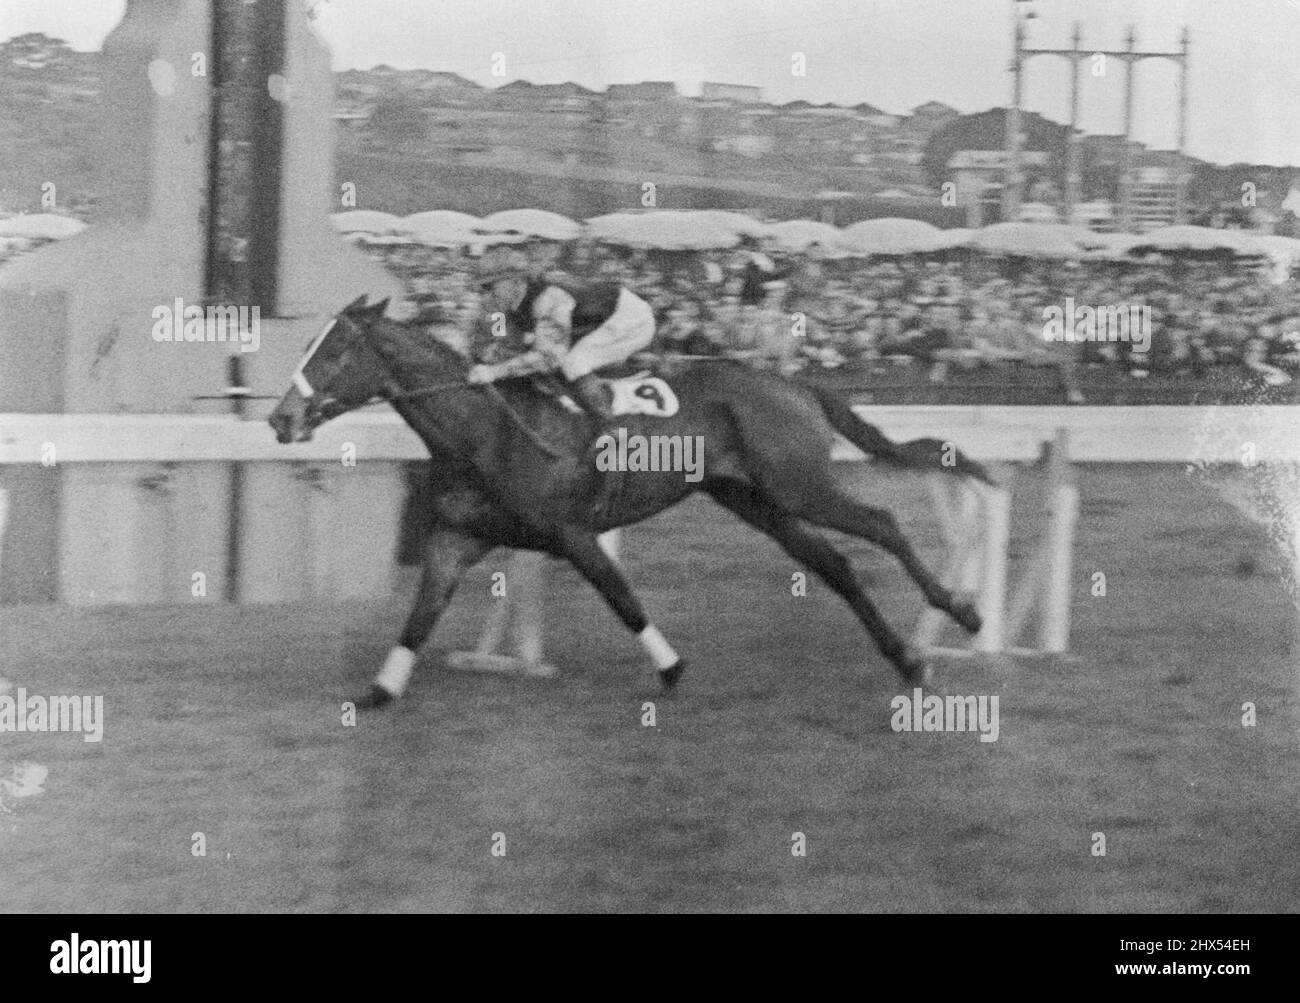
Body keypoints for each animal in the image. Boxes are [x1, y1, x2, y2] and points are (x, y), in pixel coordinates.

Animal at [269, 296, 987, 706]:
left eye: (335, 350)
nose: (280, 418)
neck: (486, 429)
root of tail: (795, 383)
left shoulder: (572, 533)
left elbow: (624, 600)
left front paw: (671, 669)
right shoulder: (454, 539)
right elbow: (418, 620)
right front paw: (379, 690)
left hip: (797, 485)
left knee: (882, 523)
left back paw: (960, 613)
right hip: (757, 500)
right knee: (833, 563)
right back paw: (908, 660)